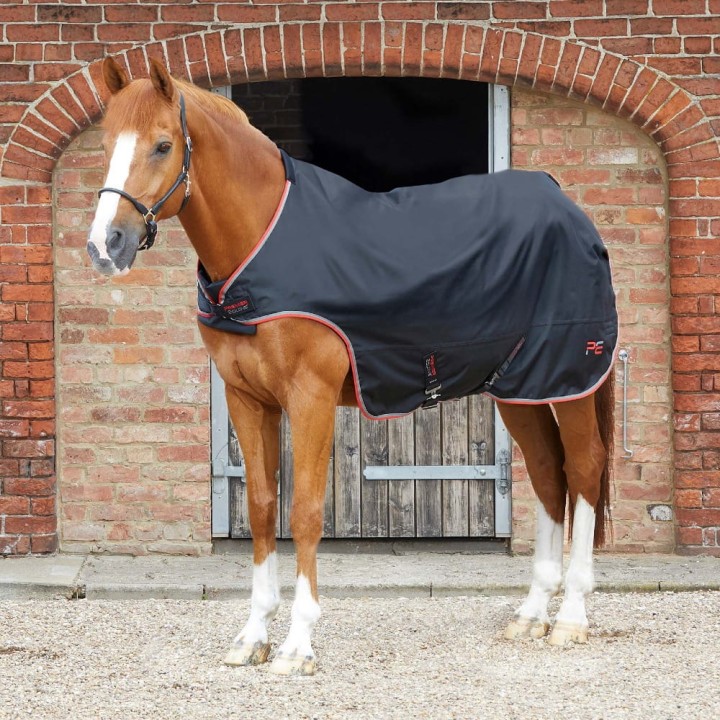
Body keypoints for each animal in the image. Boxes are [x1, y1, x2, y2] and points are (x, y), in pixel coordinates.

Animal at [86, 57, 616, 676]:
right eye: (105, 145)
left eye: (163, 145)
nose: (105, 245)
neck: (261, 243)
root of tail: (568, 208)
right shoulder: (247, 398)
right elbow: (263, 508)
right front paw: (253, 636)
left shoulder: (309, 396)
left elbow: (306, 512)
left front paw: (297, 646)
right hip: (518, 388)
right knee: (549, 472)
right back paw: (532, 615)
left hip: (569, 378)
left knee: (584, 467)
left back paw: (571, 617)